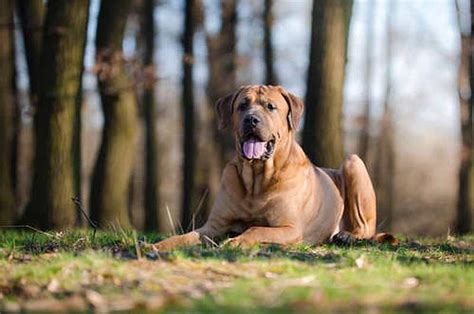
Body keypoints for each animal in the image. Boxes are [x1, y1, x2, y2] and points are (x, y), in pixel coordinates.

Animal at [155, 84, 392, 250]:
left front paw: (237, 241)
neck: (256, 179)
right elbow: (187, 236)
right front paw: (159, 245)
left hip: (353, 162)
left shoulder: (289, 228)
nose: (251, 119)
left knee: (366, 228)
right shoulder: (214, 226)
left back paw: (347, 235)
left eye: (270, 106)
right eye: (242, 105)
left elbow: (256, 229)